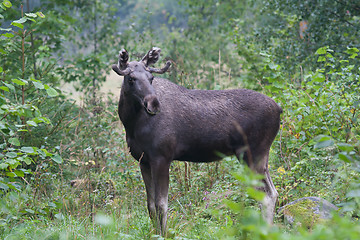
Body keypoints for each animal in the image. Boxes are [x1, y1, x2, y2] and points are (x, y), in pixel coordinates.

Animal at [112, 47, 282, 235]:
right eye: (131, 78)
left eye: (151, 78)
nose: (153, 104)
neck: (131, 123)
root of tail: (279, 109)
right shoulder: (143, 161)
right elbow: (150, 206)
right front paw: (155, 234)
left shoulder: (162, 157)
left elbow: (161, 205)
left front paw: (164, 234)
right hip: (259, 157)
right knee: (273, 192)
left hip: (252, 154)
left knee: (265, 196)